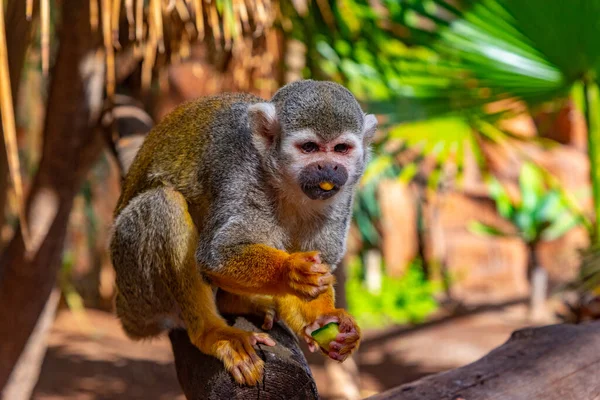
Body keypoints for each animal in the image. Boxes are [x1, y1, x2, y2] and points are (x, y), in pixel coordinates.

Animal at [109, 79, 376, 386]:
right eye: (309, 147)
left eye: (341, 148)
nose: (329, 167)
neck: (286, 184)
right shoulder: (243, 173)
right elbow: (216, 255)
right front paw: (291, 271)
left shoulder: (343, 197)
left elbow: (319, 270)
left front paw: (327, 320)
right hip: (135, 284)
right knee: (163, 203)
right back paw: (211, 332)